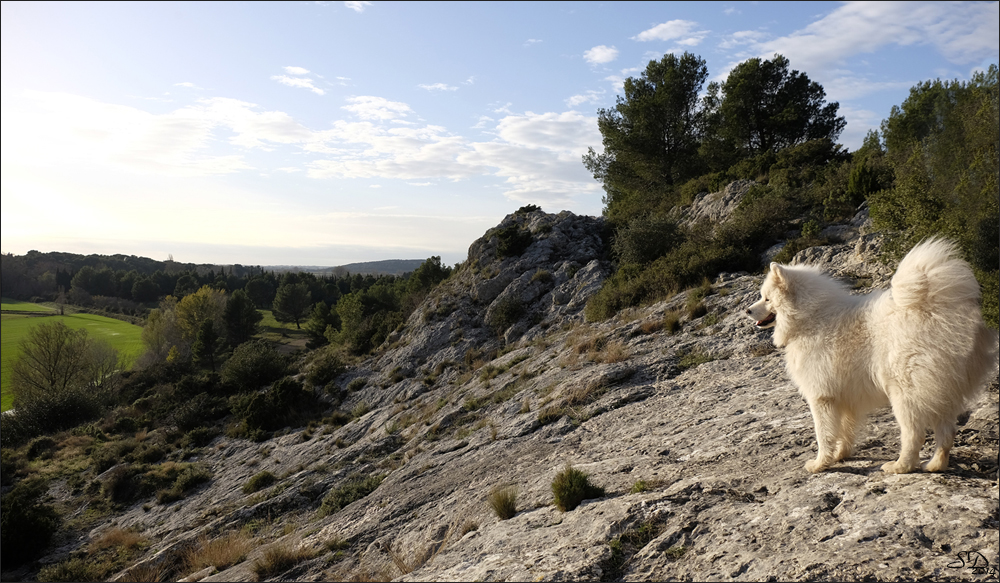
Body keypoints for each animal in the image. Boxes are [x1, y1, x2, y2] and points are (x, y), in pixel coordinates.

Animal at [752, 240, 1000, 472]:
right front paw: (840, 455)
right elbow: (844, 431)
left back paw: (900, 467)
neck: (809, 317)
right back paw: (934, 465)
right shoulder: (844, 397)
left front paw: (820, 463)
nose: (747, 310)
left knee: (914, 434)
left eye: (766, 299)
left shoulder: (821, 397)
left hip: (905, 394)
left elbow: (824, 434)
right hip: (942, 391)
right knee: (947, 433)